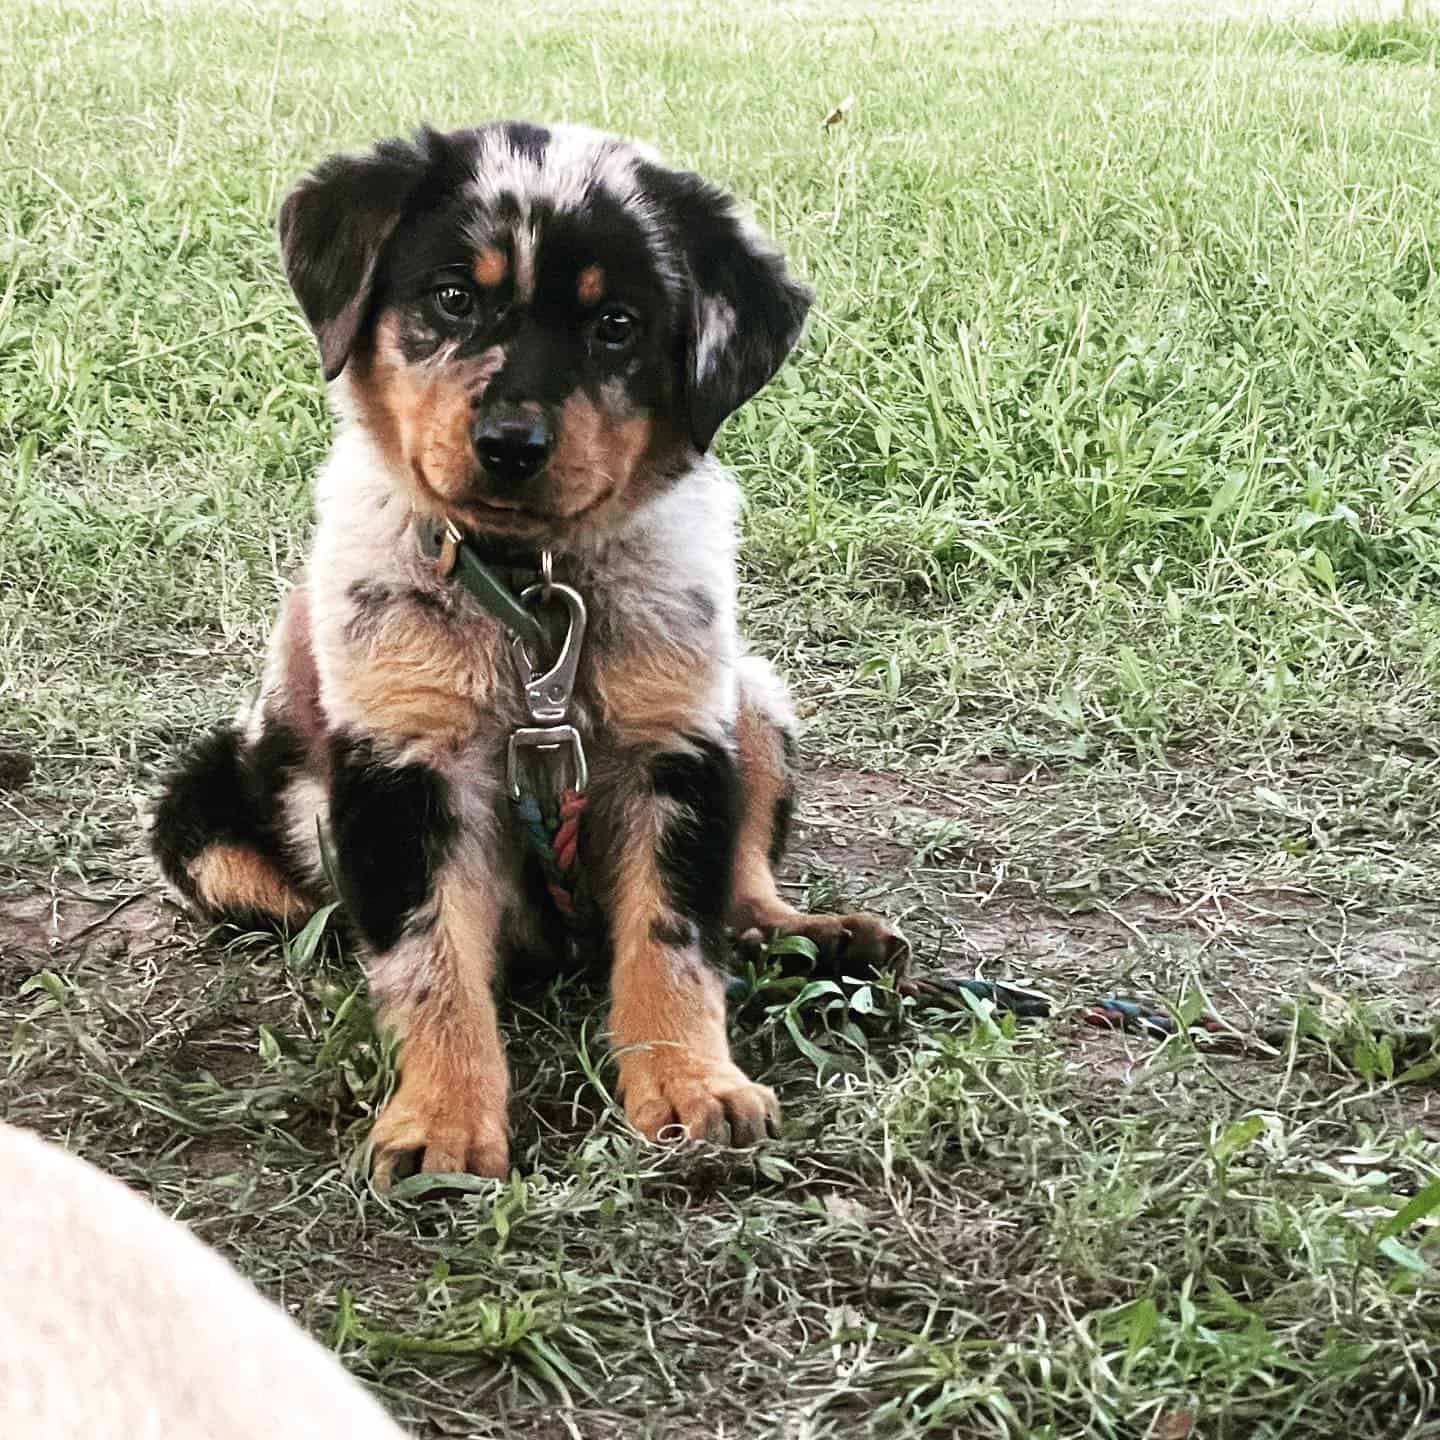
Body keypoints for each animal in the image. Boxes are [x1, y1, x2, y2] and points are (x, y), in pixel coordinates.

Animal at [151, 120, 904, 1180]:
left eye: (617, 325)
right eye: (452, 298)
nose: (512, 444)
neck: (528, 588)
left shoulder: (677, 742)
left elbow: (675, 935)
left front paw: (691, 1086)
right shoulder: (403, 765)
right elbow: (431, 960)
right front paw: (441, 1124)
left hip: (752, 700)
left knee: (742, 886)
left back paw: (814, 938)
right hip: (203, 820)